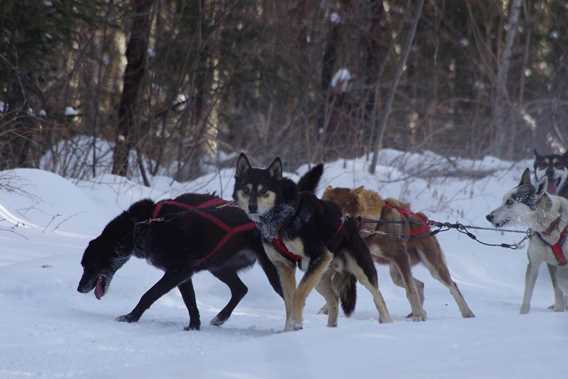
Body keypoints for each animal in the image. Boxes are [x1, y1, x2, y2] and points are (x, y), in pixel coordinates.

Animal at [77, 194, 282, 332]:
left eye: (90, 266)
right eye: (83, 266)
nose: (79, 288)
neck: (144, 225)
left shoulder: (177, 272)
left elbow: (149, 295)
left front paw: (131, 317)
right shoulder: (183, 275)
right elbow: (190, 302)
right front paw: (194, 326)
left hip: (272, 272)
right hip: (219, 267)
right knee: (240, 289)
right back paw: (220, 318)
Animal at [233, 154, 392, 332]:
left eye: (264, 191)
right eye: (246, 190)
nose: (252, 207)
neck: (284, 218)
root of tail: (351, 221)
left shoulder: (320, 254)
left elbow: (298, 294)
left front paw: (296, 323)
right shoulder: (284, 265)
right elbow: (289, 300)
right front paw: (288, 330)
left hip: (358, 270)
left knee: (378, 297)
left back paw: (388, 323)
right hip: (319, 276)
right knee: (334, 298)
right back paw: (331, 328)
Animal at [324, 186, 474, 320]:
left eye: (340, 205)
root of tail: (422, 218)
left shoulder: (399, 255)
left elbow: (410, 290)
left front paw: (418, 316)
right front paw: (326, 309)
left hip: (431, 266)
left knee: (451, 285)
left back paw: (466, 312)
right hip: (396, 273)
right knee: (420, 284)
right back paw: (419, 311)